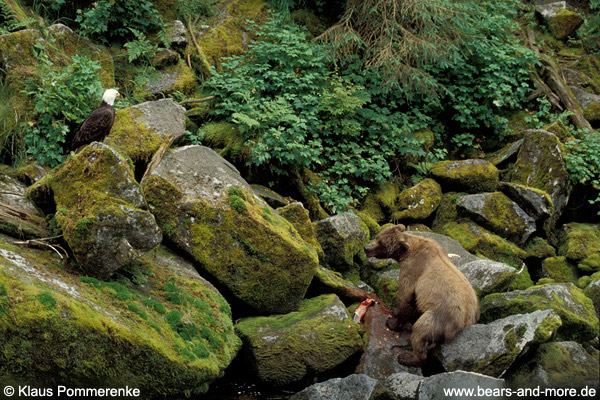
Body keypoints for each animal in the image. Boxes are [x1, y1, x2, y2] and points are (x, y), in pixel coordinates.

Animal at [364, 223, 480, 368]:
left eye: (381, 243)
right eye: (377, 236)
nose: (366, 248)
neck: (406, 253)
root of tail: (466, 320)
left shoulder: (413, 270)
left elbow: (406, 298)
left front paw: (392, 322)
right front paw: (394, 312)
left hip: (439, 317)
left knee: (421, 332)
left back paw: (407, 357)